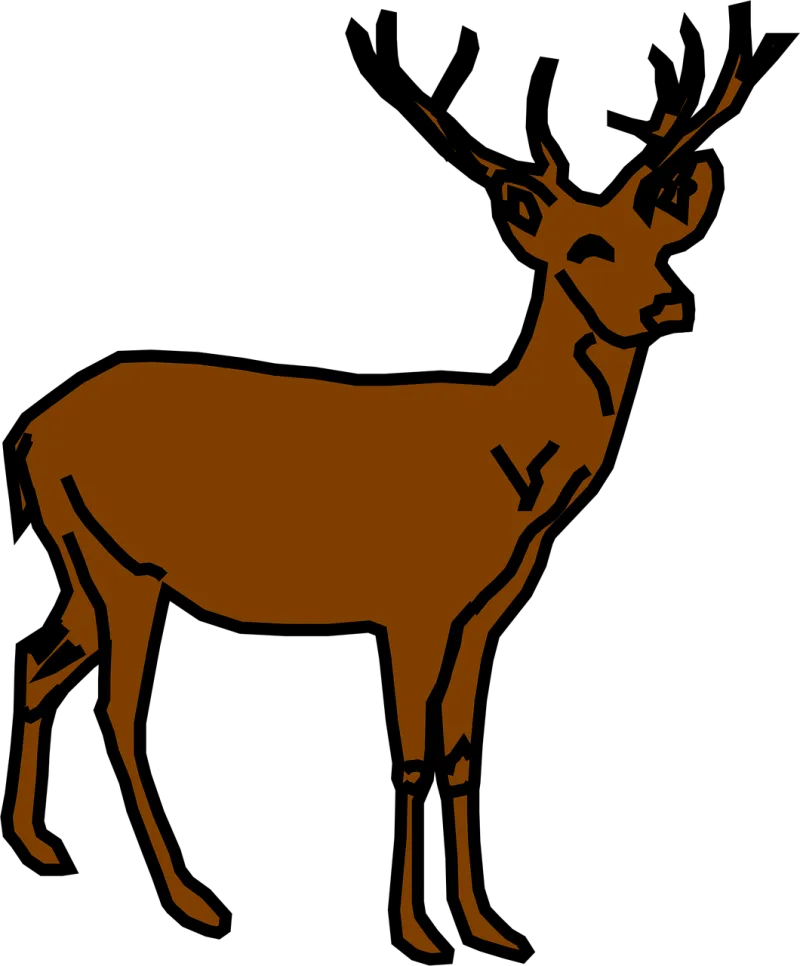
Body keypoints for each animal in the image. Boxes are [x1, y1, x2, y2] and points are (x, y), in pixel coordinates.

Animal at [13, 58, 743, 953]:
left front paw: (483, 922)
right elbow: (408, 755)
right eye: (585, 247)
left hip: (82, 564)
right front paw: (415, 928)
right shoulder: (410, 605)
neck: (510, 469)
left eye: (660, 242)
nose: (663, 303)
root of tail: (32, 434)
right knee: (122, 706)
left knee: (40, 659)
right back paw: (191, 895)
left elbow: (460, 755)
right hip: (126, 565)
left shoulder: (480, 615)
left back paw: (35, 840)